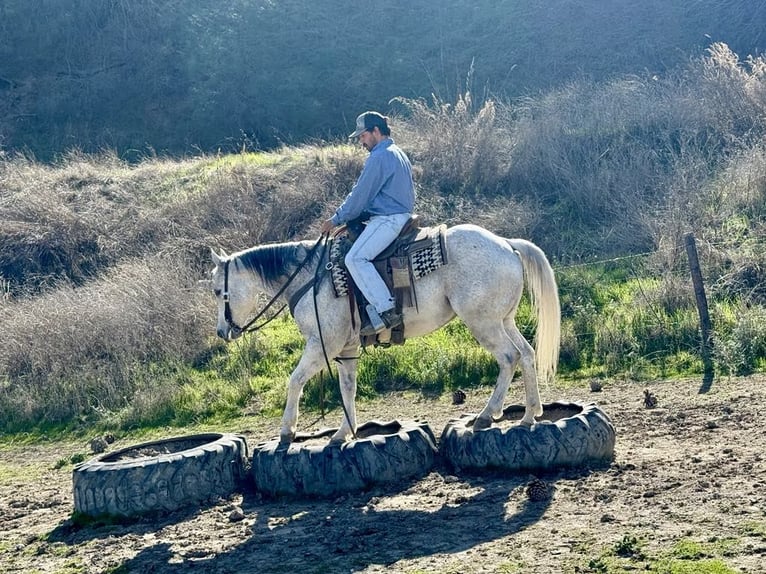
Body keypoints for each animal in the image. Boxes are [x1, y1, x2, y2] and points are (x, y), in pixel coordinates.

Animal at [208, 224, 560, 446]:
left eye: (216, 291)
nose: (222, 331)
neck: (311, 278)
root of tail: (507, 244)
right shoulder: (345, 350)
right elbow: (347, 389)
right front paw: (343, 434)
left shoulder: (321, 345)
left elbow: (295, 381)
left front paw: (287, 431)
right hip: (504, 320)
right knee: (526, 355)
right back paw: (530, 414)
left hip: (483, 323)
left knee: (509, 357)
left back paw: (487, 416)